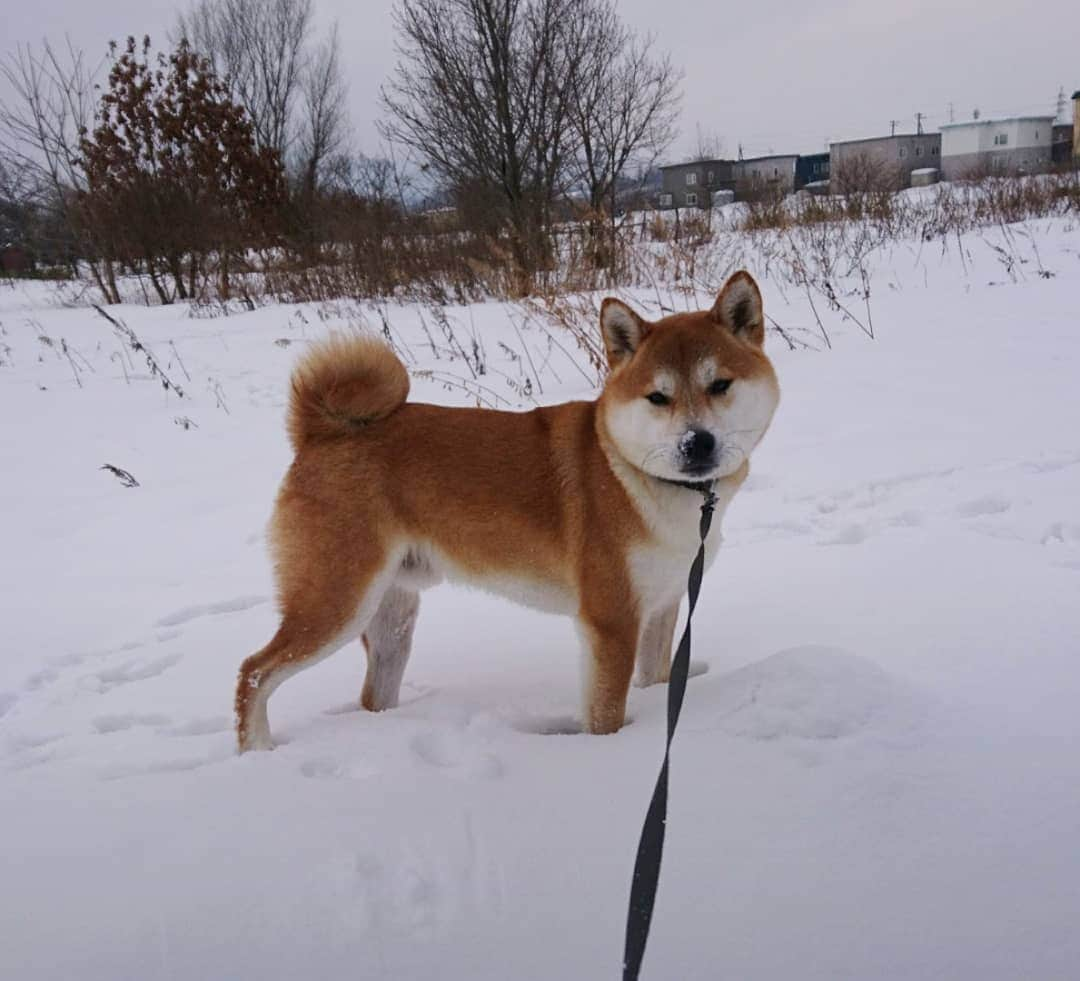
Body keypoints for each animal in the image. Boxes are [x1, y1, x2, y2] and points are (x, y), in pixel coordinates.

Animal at [234, 272, 777, 756]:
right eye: (658, 397)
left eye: (720, 384)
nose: (696, 443)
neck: (636, 474)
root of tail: (321, 432)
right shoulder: (611, 622)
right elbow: (606, 716)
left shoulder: (662, 608)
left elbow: (657, 683)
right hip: (336, 603)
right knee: (253, 673)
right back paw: (257, 754)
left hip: (391, 618)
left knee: (370, 694)